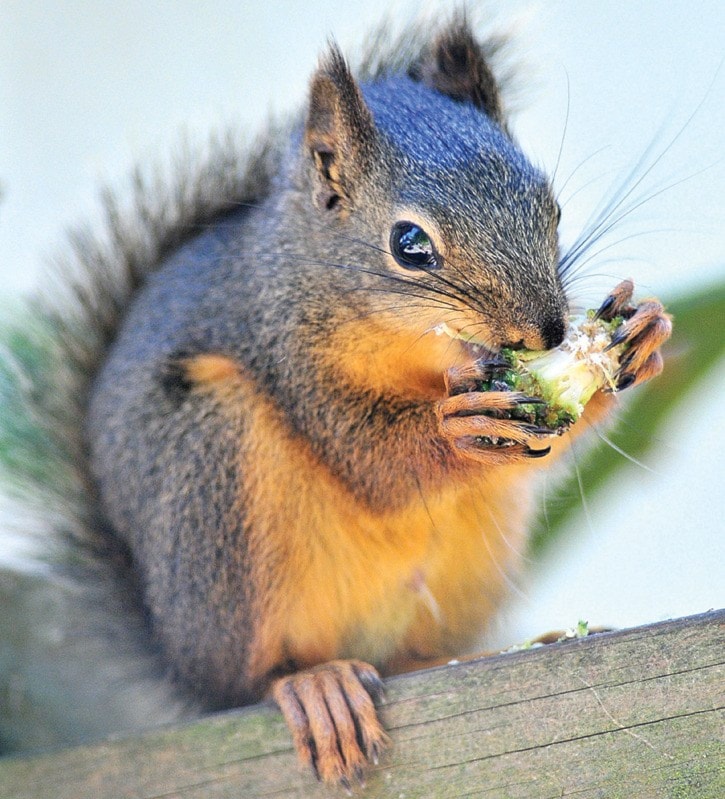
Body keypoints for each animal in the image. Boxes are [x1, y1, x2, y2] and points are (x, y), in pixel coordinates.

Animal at [0, 12, 672, 788]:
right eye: (409, 244)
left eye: (551, 206)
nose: (549, 332)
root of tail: (177, 656)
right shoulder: (283, 353)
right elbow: (370, 464)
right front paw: (455, 428)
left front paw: (639, 334)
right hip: (212, 474)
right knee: (248, 679)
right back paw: (311, 685)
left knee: (407, 657)